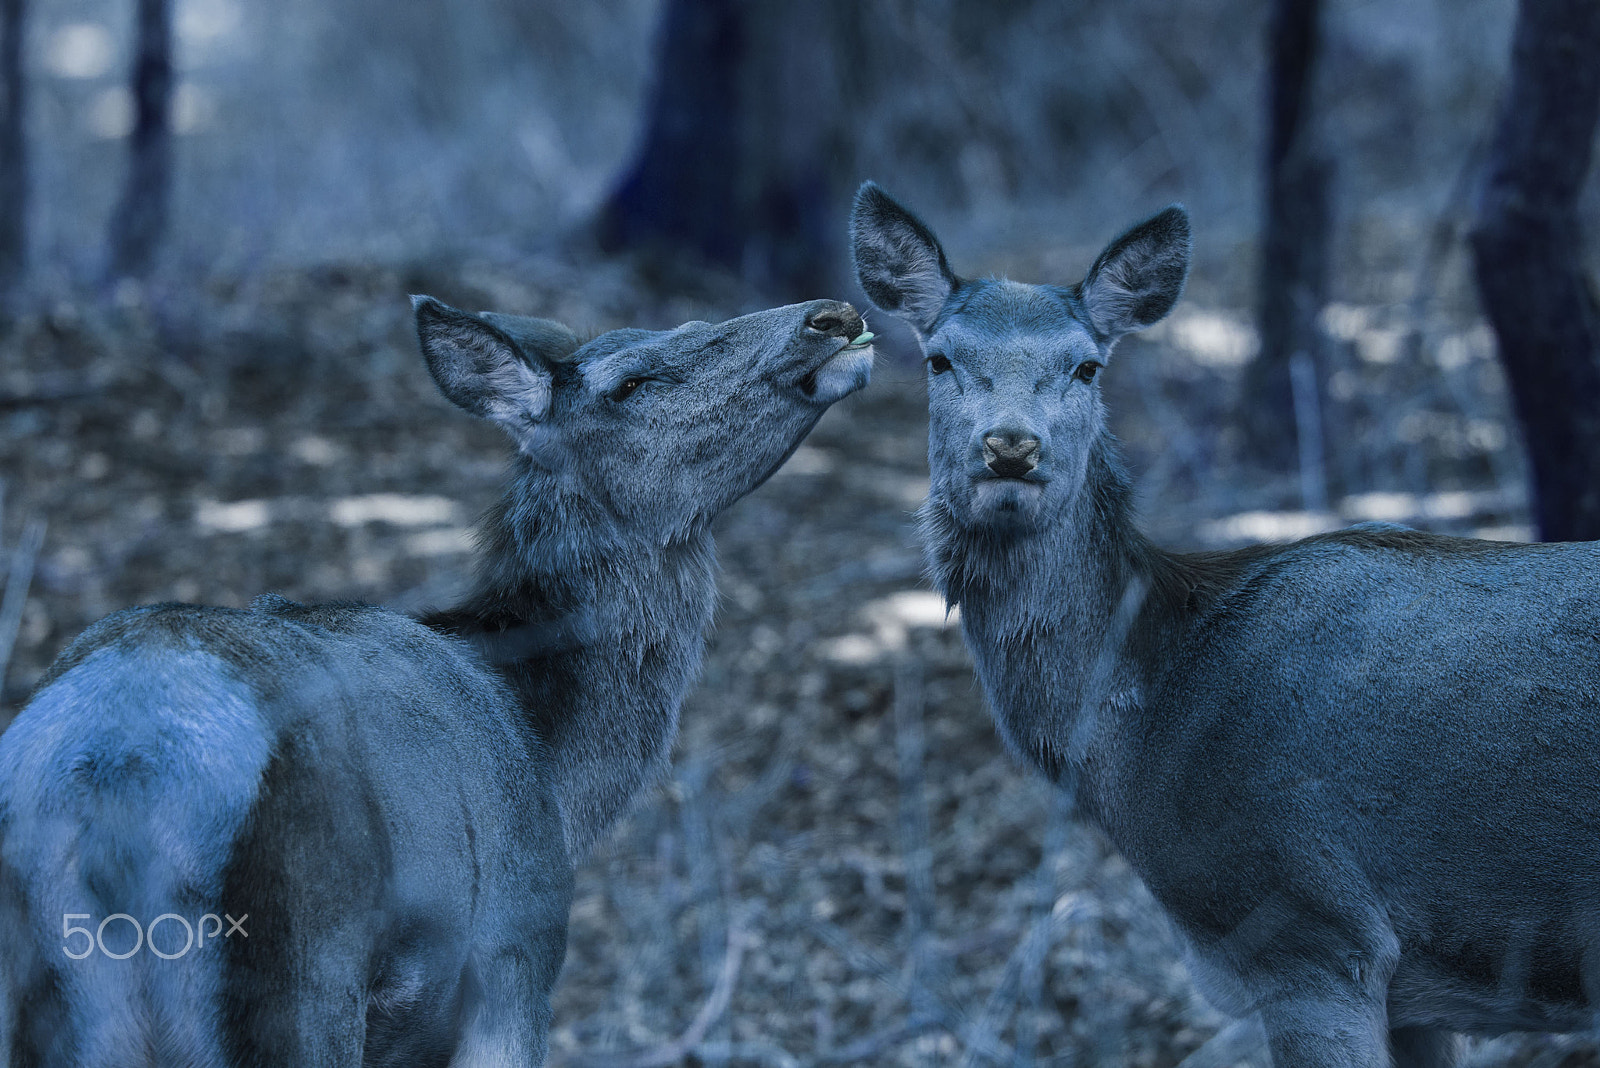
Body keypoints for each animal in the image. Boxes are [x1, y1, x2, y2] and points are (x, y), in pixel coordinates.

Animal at [0, 294, 876, 1068]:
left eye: (692, 318)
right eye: (631, 383)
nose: (832, 316)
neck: (557, 768)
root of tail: (117, 776)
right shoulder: (517, 958)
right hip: (299, 975)